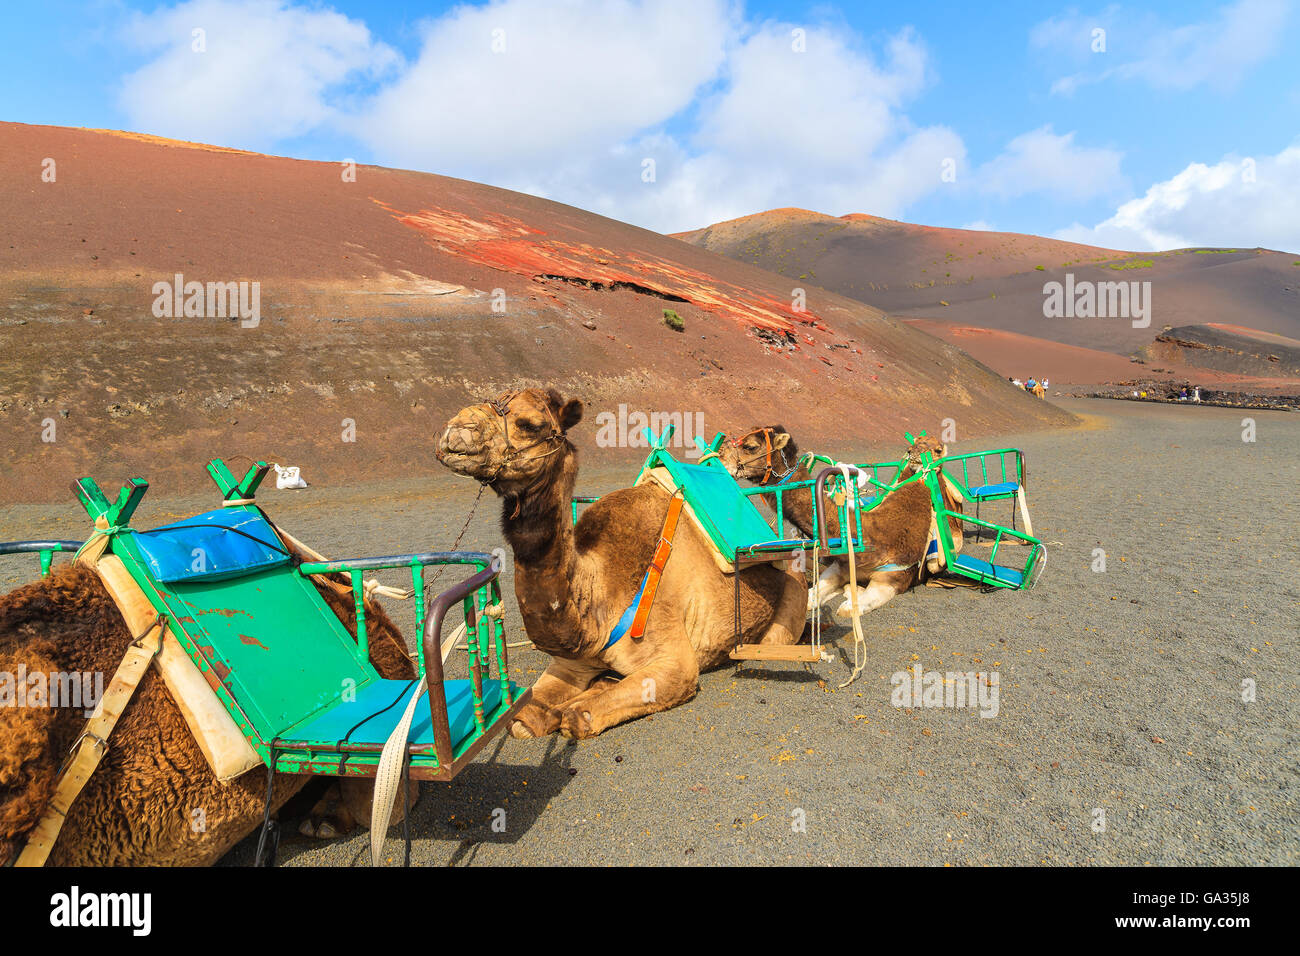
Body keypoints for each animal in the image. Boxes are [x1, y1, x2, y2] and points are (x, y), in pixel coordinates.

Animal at [434, 390, 800, 738]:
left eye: (529, 424)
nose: (456, 430)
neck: (600, 597)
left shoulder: (676, 664)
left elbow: (579, 718)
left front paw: (574, 709)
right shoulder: (571, 664)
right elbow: (524, 720)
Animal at [722, 429, 967, 624]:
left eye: (750, 446)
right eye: (913, 443)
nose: (722, 456)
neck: (874, 535)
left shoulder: (894, 577)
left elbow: (849, 609)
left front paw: (849, 598)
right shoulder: (841, 566)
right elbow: (812, 596)